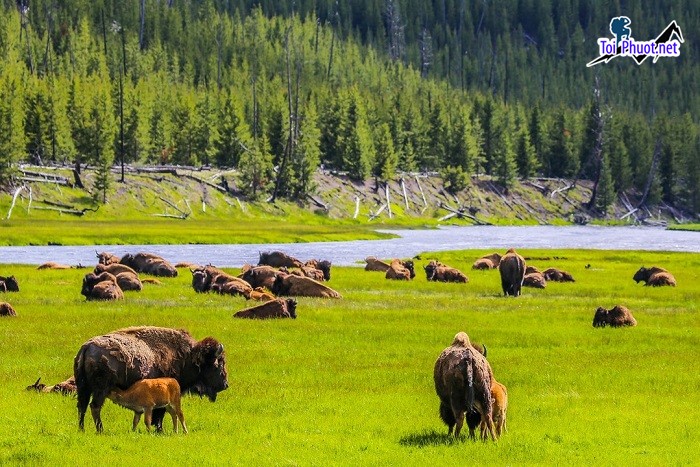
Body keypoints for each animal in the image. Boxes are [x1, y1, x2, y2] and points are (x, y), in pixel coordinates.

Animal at [74, 328, 228, 434]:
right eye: (219, 363)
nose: (225, 384)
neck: (187, 357)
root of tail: (86, 347)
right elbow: (159, 414)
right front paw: (159, 430)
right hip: (101, 389)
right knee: (95, 406)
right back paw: (101, 430)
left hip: (83, 388)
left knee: (82, 406)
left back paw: (82, 429)